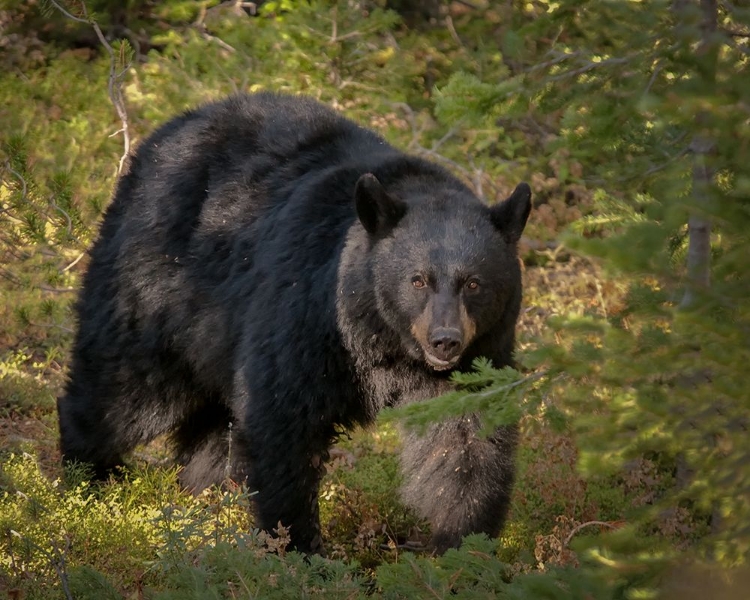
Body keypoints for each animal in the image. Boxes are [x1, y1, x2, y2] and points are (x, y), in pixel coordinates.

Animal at [58, 91, 532, 556]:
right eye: (418, 280)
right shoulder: (305, 314)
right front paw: (298, 548)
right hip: (155, 288)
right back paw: (86, 485)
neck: (380, 341)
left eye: (473, 283)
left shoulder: (478, 357)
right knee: (122, 391)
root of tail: (163, 134)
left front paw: (460, 547)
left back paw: (205, 501)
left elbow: (465, 444)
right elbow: (282, 419)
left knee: (211, 427)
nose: (445, 341)